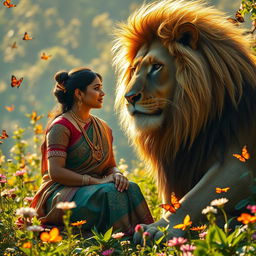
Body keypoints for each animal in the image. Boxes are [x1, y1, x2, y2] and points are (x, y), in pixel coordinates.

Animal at [113, 0, 256, 242]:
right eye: (134, 69)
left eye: (156, 67)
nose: (129, 97)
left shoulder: (240, 161)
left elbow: (197, 197)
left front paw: (157, 229)